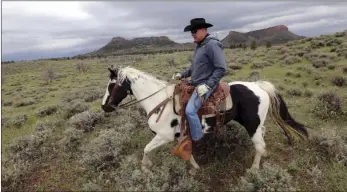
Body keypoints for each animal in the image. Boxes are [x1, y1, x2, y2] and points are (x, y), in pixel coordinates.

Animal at [101, 66, 310, 172]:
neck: (160, 101)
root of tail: (258, 85)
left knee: (259, 146)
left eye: (111, 85)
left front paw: (145, 167)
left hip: (252, 126)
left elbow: (146, 148)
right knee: (263, 138)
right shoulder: (180, 136)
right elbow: (187, 153)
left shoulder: (163, 136)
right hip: (257, 125)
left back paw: (253, 170)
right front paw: (195, 167)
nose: (104, 107)